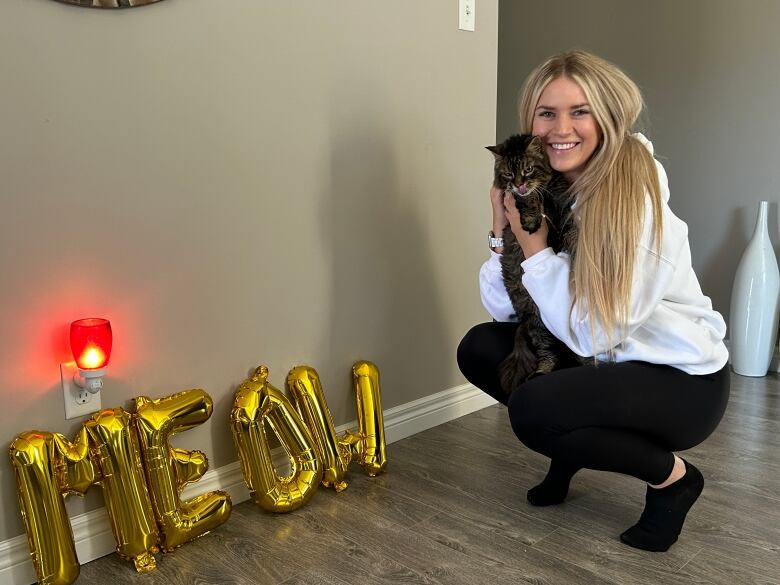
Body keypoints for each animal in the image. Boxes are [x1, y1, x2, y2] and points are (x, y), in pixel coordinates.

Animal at [488, 133, 580, 392]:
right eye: (509, 174)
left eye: (527, 169)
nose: (519, 184)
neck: (545, 192)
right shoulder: (514, 198)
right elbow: (528, 201)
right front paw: (530, 221)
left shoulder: (564, 201)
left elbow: (572, 228)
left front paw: (577, 244)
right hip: (537, 322)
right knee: (547, 353)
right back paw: (541, 371)